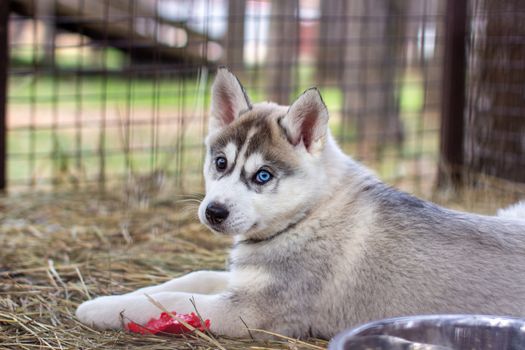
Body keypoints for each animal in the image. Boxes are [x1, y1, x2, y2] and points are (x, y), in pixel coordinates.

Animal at [77, 67, 524, 338]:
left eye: (262, 176)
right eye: (220, 163)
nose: (214, 212)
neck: (310, 215)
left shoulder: (247, 311)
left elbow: (170, 302)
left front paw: (98, 307)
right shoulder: (242, 281)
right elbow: (186, 280)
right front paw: (128, 293)